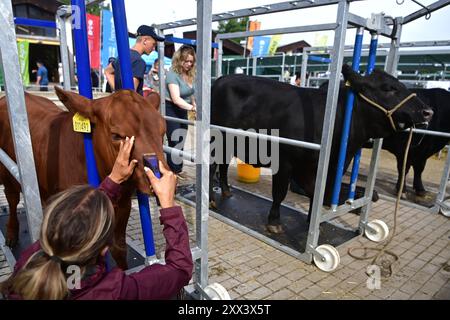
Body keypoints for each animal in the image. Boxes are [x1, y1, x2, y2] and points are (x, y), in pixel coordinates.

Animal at [0, 87, 165, 268]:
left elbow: (119, 248)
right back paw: (11, 233)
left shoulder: (123, 205)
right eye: (116, 136)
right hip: (6, 172)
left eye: (163, 131)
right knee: (12, 198)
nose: (159, 176)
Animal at [211, 65, 432, 234]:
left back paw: (227, 192)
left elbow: (318, 193)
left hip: (229, 142)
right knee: (213, 167)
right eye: (388, 88)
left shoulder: (330, 167)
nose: (428, 111)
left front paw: (313, 222)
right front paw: (274, 223)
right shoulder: (285, 162)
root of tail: (221, 79)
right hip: (216, 139)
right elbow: (280, 193)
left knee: (223, 166)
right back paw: (213, 199)